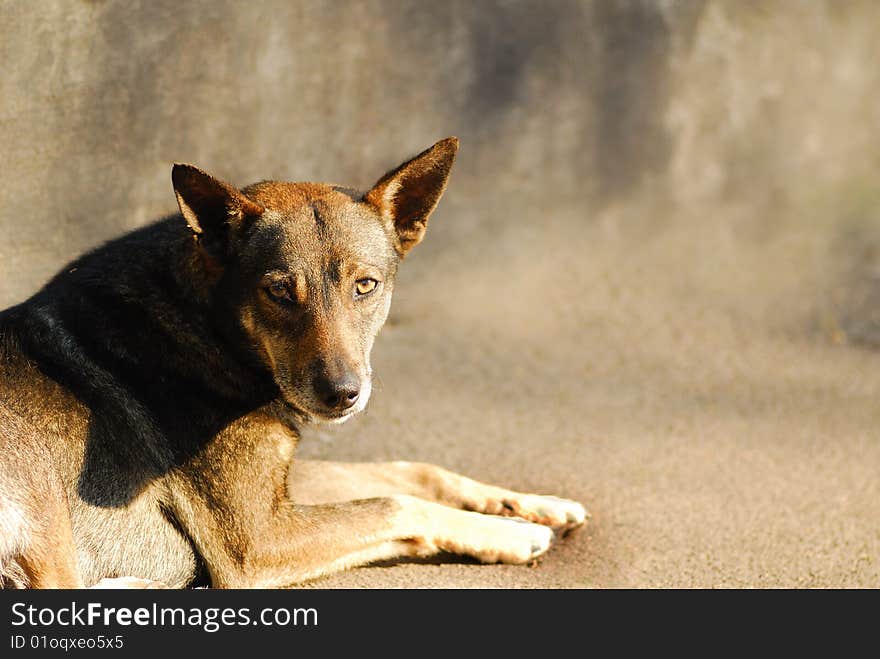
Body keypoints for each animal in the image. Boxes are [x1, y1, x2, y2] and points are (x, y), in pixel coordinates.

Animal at [3, 138, 588, 588]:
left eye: (366, 285)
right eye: (280, 292)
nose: (343, 394)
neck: (204, 320)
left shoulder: (280, 490)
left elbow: (410, 471)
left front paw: (533, 504)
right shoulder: (257, 539)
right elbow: (397, 503)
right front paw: (515, 533)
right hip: (39, 493)